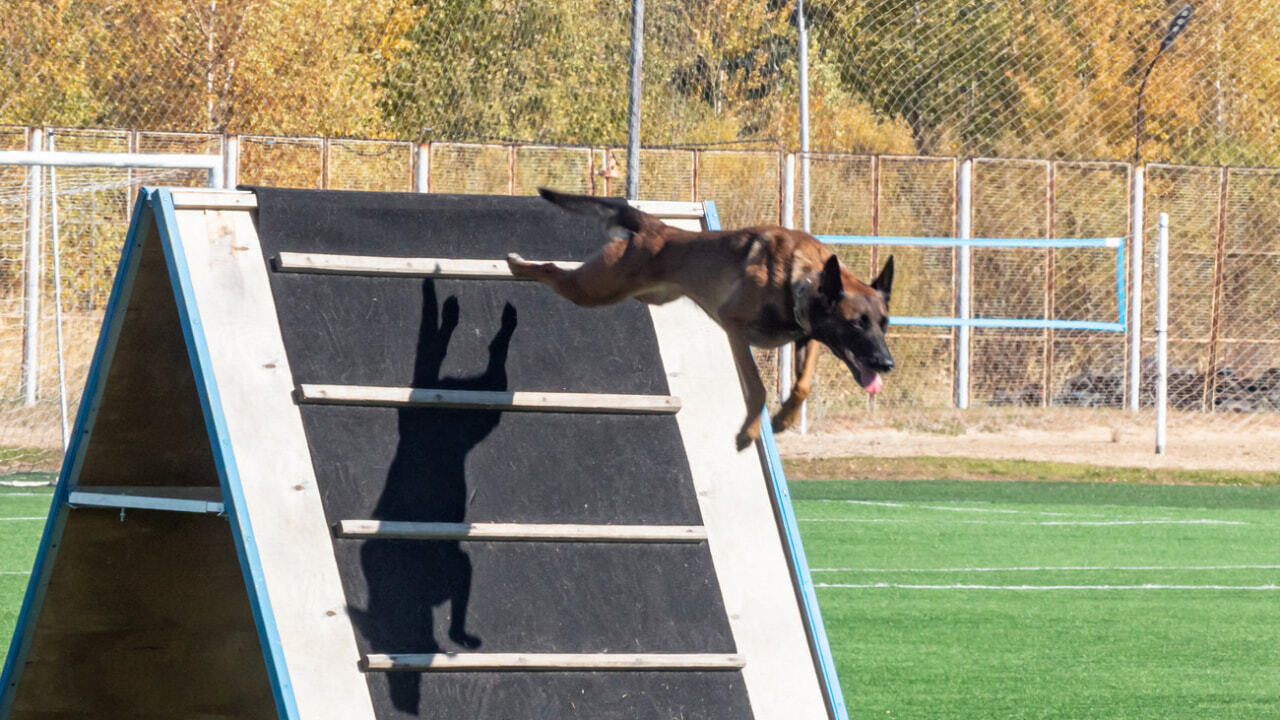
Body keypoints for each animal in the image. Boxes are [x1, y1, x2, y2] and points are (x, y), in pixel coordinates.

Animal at [504, 189, 896, 448]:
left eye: (883, 323)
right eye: (856, 323)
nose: (887, 363)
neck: (799, 279)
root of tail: (653, 227)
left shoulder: (808, 335)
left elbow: (802, 385)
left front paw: (783, 419)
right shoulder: (734, 327)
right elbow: (757, 388)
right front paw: (749, 432)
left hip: (641, 294)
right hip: (594, 289)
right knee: (552, 271)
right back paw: (516, 266)